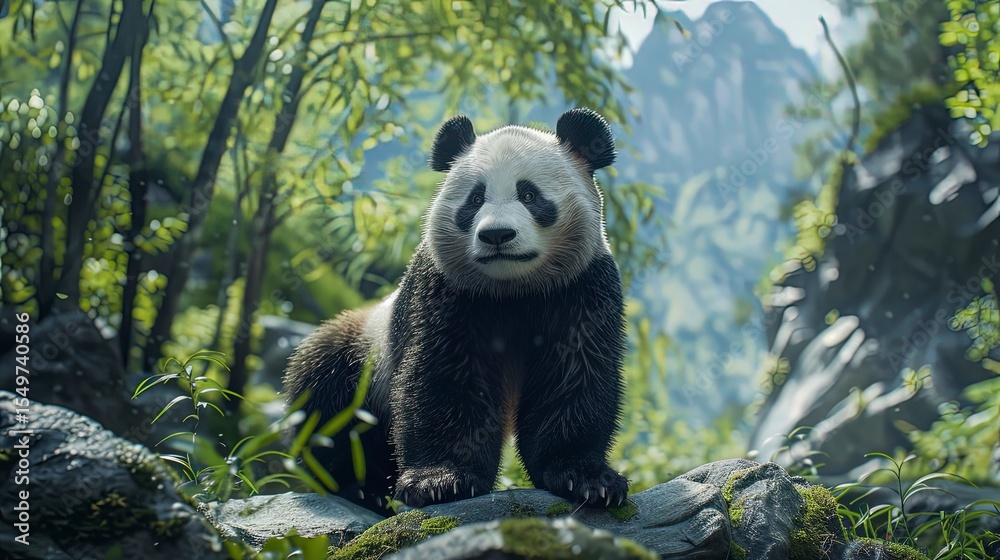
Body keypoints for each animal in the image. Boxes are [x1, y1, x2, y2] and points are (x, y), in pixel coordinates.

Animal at [283, 107, 628, 512]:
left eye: (529, 194)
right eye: (475, 199)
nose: (497, 235)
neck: (513, 288)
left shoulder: (581, 286)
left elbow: (575, 372)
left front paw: (588, 479)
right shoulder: (448, 290)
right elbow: (444, 377)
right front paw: (441, 481)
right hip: (363, 353)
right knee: (326, 402)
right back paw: (356, 487)